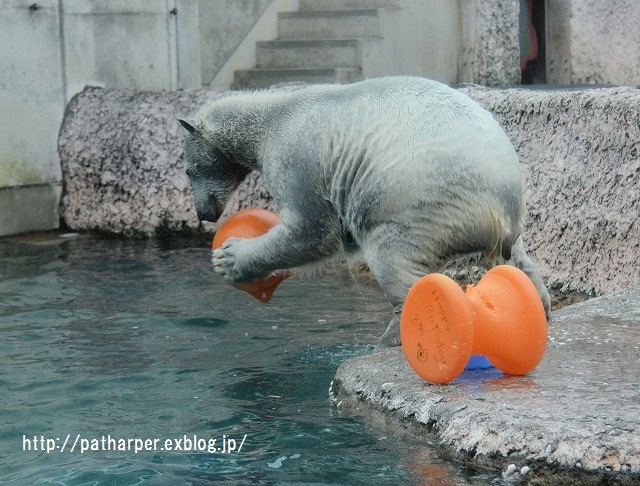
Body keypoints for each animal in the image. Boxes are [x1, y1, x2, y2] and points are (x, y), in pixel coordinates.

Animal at [179, 76, 552, 348]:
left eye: (187, 170)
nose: (204, 213)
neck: (270, 116)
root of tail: (503, 203)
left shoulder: (293, 155)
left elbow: (312, 229)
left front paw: (230, 257)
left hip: (421, 200)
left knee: (392, 255)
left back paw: (394, 336)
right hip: (496, 222)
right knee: (519, 262)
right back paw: (539, 305)